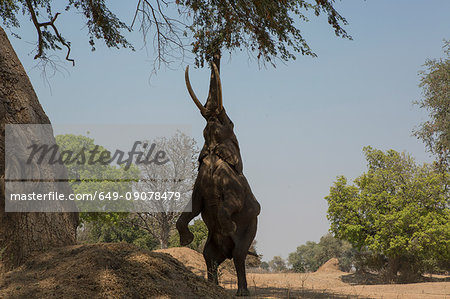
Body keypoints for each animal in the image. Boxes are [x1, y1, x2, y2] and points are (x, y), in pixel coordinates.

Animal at [176, 61, 260, 298]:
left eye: (230, 123)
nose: (212, 114)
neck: (215, 154)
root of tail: (227, 252)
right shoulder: (199, 184)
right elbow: (191, 208)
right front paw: (186, 240)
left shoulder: (234, 187)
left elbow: (227, 207)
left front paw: (230, 226)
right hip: (212, 245)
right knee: (209, 257)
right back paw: (212, 286)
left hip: (249, 231)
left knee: (239, 256)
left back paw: (241, 292)